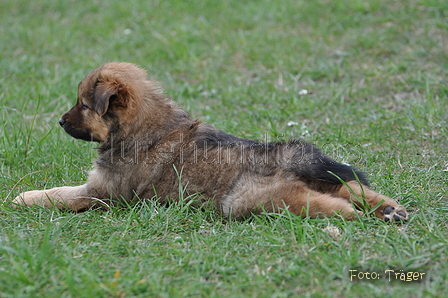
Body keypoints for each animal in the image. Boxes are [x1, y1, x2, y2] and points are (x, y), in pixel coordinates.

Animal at [12, 62, 408, 221]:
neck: (143, 126)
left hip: (247, 199)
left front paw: (23, 198)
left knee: (327, 202)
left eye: (82, 105)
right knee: (352, 187)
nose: (60, 121)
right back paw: (390, 209)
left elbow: (59, 194)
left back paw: (358, 214)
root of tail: (288, 154)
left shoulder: (101, 192)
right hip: (325, 176)